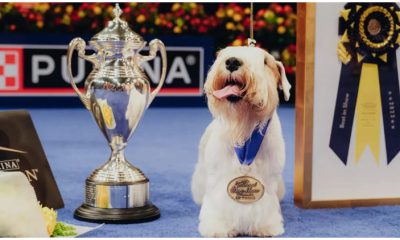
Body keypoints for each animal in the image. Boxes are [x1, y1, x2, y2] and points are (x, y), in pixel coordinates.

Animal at [191, 46, 290, 237]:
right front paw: (217, 227)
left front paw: (266, 226)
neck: (244, 130)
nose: (232, 62)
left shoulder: (268, 180)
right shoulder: (217, 180)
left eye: (265, 61)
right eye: (223, 53)